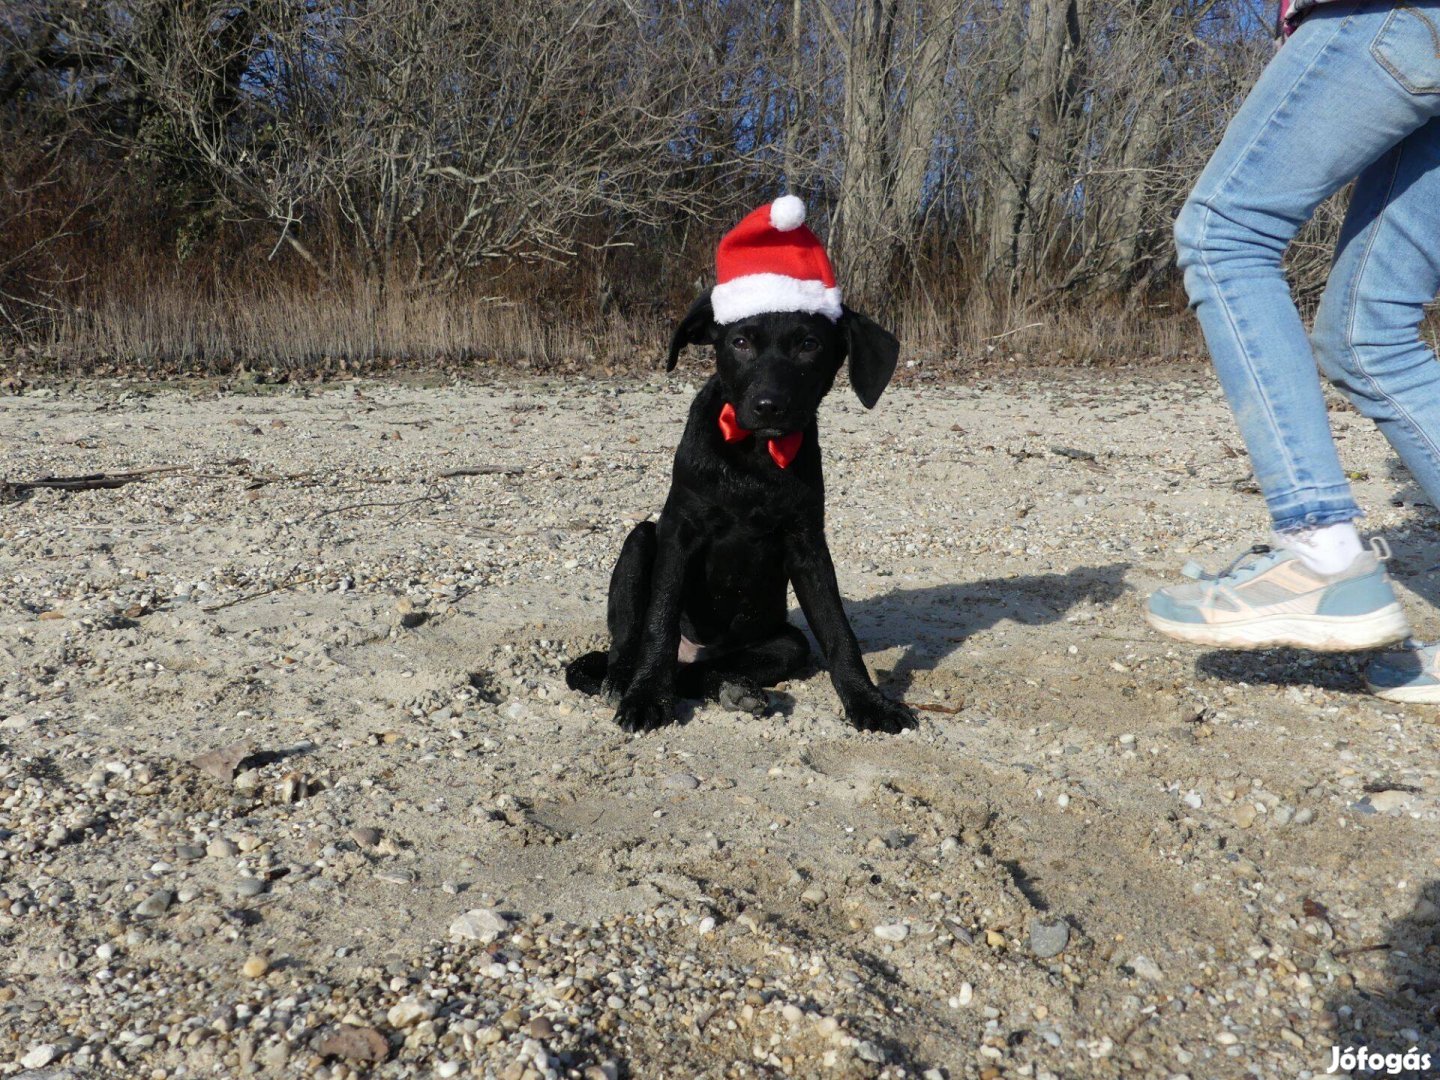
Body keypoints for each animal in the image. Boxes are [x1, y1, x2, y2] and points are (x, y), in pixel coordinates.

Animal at [561, 288, 910, 737]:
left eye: (809, 344)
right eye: (740, 342)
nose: (769, 406)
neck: (756, 456)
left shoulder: (808, 546)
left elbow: (838, 631)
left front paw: (868, 701)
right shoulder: (680, 532)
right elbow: (660, 620)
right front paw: (647, 696)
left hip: (785, 645)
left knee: (700, 673)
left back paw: (736, 688)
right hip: (640, 541)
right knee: (628, 643)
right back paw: (624, 681)